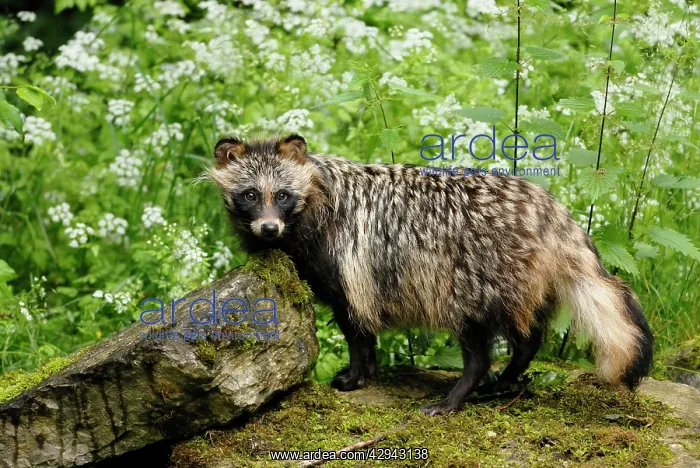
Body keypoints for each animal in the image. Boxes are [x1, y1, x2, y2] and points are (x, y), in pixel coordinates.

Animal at [207, 134, 653, 416]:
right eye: (250, 195)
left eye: (283, 195)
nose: (269, 229)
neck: (316, 193)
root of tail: (553, 214)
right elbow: (364, 329)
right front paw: (369, 369)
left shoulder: (345, 263)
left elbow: (355, 326)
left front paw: (357, 372)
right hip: (522, 283)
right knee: (529, 335)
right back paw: (508, 376)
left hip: (473, 277)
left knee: (480, 347)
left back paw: (458, 394)